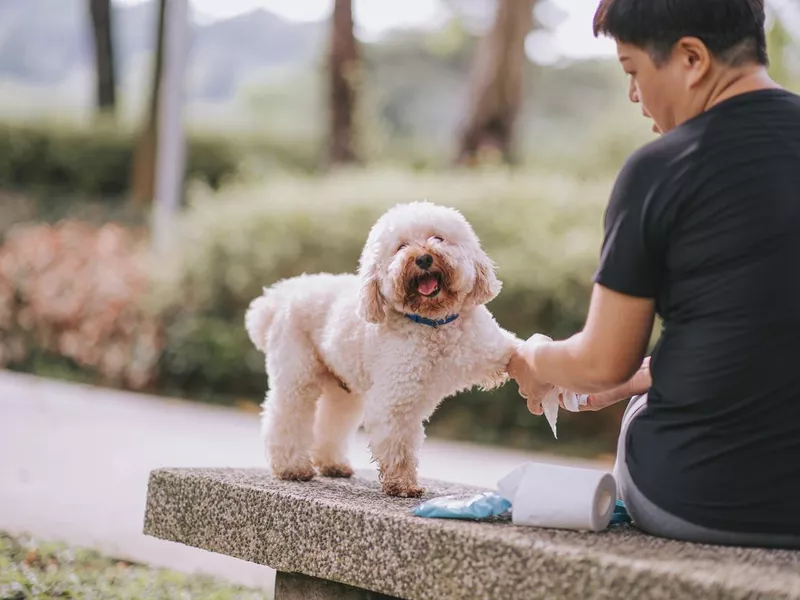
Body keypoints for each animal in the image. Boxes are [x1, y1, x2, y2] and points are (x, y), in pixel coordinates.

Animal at [245, 202, 520, 496]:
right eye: (401, 247)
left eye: (438, 238)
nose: (423, 259)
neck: (432, 323)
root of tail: (280, 295)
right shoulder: (396, 399)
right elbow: (399, 445)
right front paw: (402, 484)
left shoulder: (486, 349)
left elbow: (512, 353)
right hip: (297, 375)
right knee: (286, 417)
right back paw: (292, 467)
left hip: (344, 389)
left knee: (331, 421)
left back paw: (332, 464)